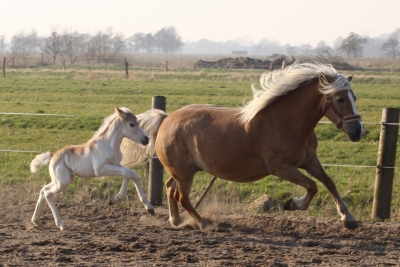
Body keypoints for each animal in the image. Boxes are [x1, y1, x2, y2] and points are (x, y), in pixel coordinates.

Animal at [120, 61, 364, 231]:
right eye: (340, 99)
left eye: (354, 96)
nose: (358, 131)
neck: (286, 121)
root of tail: (166, 119)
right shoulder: (280, 167)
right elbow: (312, 187)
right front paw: (292, 204)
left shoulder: (309, 160)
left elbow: (328, 182)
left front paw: (349, 218)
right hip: (184, 173)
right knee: (182, 197)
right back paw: (203, 223)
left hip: (182, 171)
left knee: (171, 188)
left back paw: (177, 220)